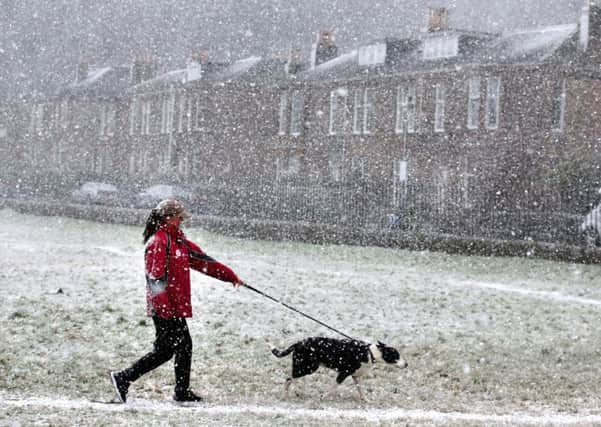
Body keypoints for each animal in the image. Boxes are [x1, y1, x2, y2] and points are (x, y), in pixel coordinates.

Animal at [272, 338, 408, 402]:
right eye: (396, 355)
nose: (406, 364)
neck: (369, 353)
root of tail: (298, 343)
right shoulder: (343, 373)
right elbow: (333, 387)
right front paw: (323, 397)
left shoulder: (356, 376)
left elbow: (361, 390)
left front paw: (366, 400)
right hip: (308, 367)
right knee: (291, 378)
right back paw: (296, 392)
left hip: (304, 366)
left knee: (289, 378)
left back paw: (288, 395)